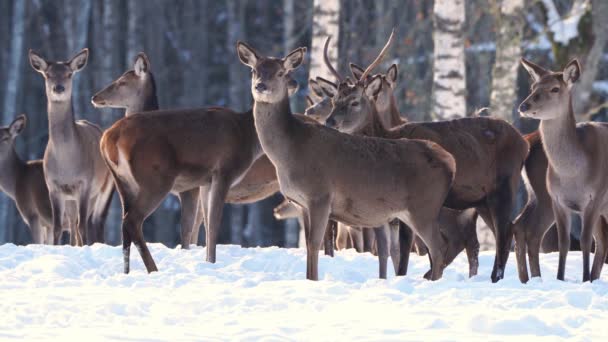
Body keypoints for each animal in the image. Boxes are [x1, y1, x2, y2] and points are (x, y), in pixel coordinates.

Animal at [29, 48, 115, 246]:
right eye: (48, 74)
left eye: (69, 74)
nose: (58, 88)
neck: (66, 164)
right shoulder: (53, 186)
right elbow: (58, 227)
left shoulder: (85, 183)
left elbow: (82, 225)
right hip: (71, 199)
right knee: (74, 224)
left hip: (103, 187)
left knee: (91, 221)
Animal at [235, 30, 458, 280]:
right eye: (254, 70)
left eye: (281, 72)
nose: (261, 86)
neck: (290, 152)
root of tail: (450, 161)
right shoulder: (302, 203)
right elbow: (312, 246)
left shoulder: (320, 195)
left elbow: (314, 245)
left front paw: (314, 280)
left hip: (424, 207)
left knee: (438, 247)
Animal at [516, 58, 608, 282]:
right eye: (533, 87)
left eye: (555, 88)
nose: (524, 105)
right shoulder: (557, 199)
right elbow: (564, 242)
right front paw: (560, 278)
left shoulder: (595, 198)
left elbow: (585, 241)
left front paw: (585, 279)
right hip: (541, 196)